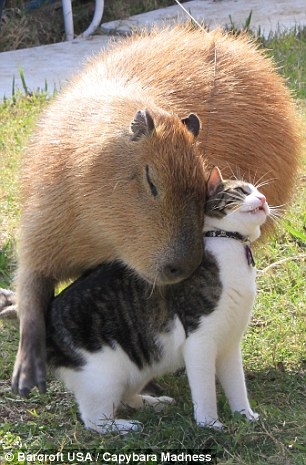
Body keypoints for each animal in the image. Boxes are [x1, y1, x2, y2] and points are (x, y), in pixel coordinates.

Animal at [0, 168, 268, 436]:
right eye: (243, 191)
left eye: (258, 191)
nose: (263, 199)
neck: (230, 245)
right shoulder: (200, 341)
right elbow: (205, 392)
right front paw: (209, 424)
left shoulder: (230, 343)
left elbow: (237, 384)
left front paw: (245, 415)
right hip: (104, 376)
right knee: (94, 420)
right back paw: (125, 426)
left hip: (139, 366)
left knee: (126, 396)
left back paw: (153, 403)